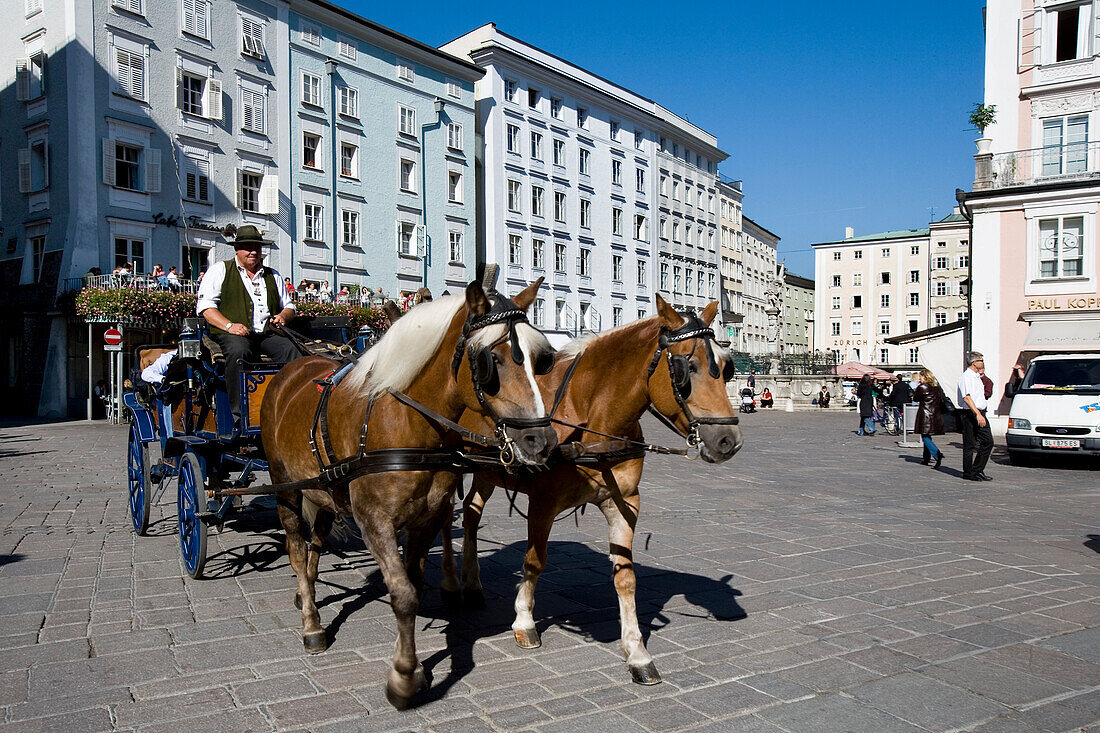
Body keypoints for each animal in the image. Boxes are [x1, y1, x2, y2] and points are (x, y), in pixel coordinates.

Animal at [259, 280, 558, 708]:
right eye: (493, 361)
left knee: (317, 538)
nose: (541, 441)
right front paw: (402, 677)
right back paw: (312, 624)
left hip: (322, 488)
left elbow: (414, 586)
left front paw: (413, 665)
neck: (409, 425)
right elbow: (402, 593)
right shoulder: (375, 522)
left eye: (541, 360)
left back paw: (309, 593)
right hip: (282, 482)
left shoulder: (427, 519)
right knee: (297, 548)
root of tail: (294, 367)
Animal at [437, 294, 739, 682]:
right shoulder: (543, 503)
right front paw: (524, 621)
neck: (592, 419)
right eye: (689, 367)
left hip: (488, 472)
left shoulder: (625, 503)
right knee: (447, 518)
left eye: (726, 367)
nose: (728, 440)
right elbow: (535, 561)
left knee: (472, 515)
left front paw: (636, 651)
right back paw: (450, 582)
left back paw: (472, 583)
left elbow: (626, 576)